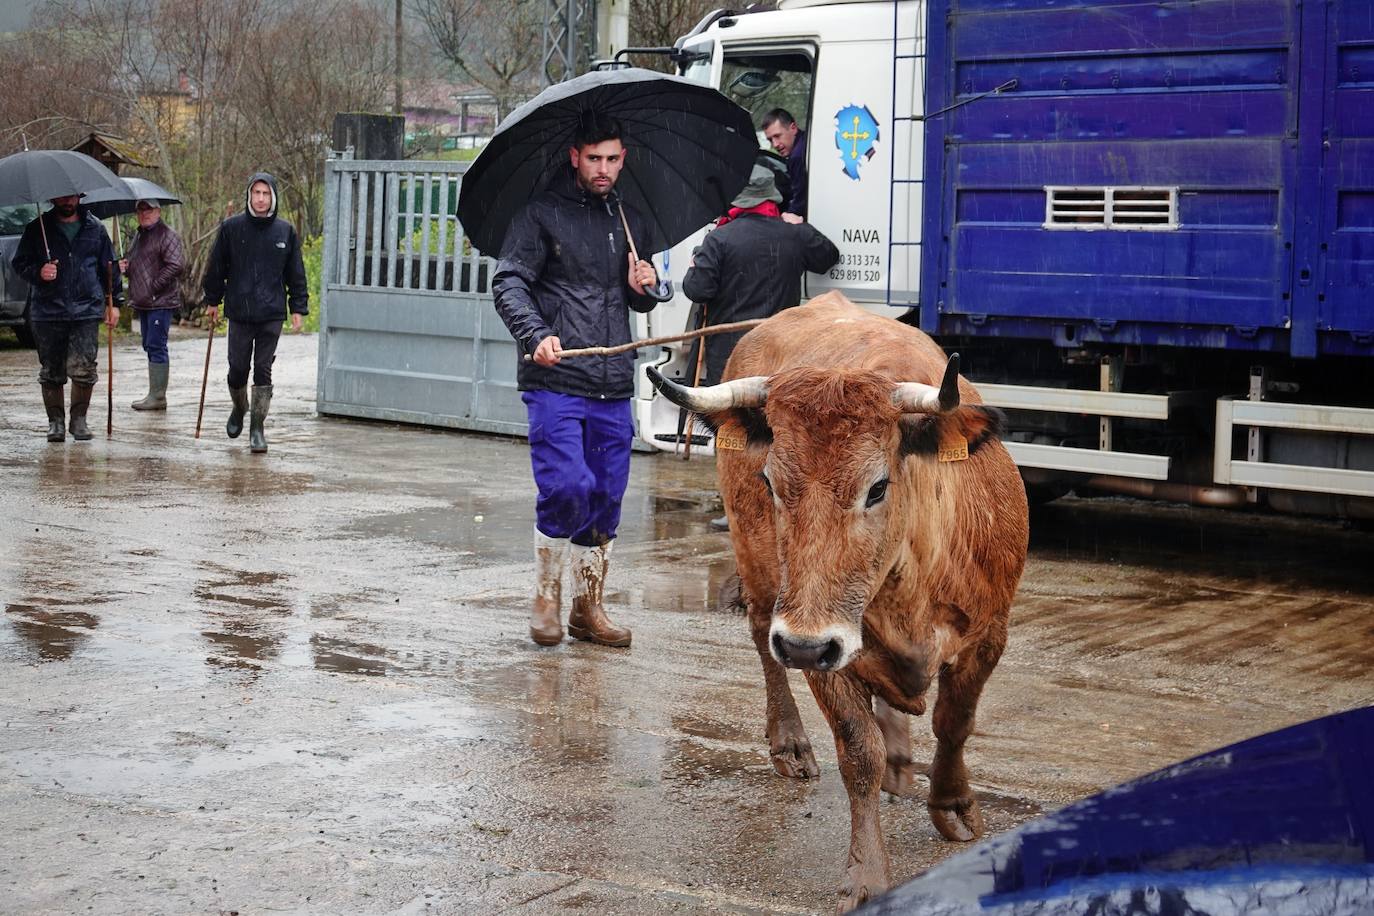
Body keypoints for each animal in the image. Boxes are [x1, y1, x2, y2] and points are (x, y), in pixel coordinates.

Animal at [648, 292, 1027, 911]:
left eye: (877, 487)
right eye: (771, 482)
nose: (803, 644)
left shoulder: (989, 634)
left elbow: (954, 722)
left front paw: (952, 805)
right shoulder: (820, 646)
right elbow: (857, 749)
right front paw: (867, 874)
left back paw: (900, 758)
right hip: (761, 576)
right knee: (761, 638)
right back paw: (791, 744)